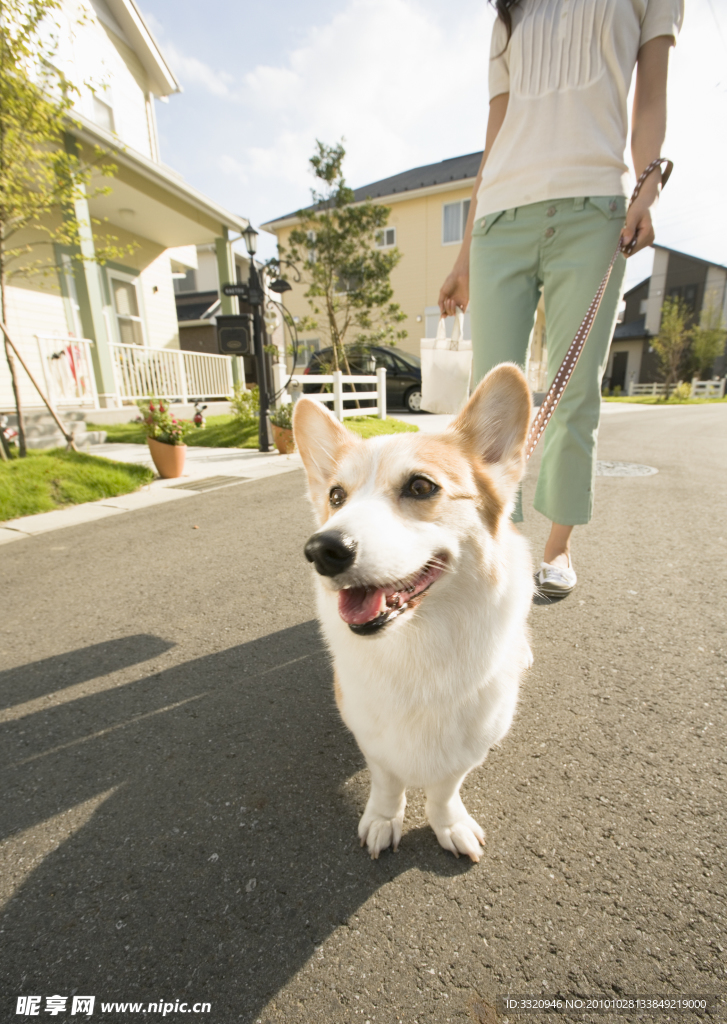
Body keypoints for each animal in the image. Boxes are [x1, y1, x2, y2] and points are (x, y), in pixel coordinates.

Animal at [292, 364, 536, 860]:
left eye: (421, 486)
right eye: (336, 496)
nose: (322, 550)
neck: (417, 643)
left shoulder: (469, 745)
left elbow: (444, 790)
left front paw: (450, 825)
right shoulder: (371, 735)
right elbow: (388, 783)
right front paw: (384, 820)